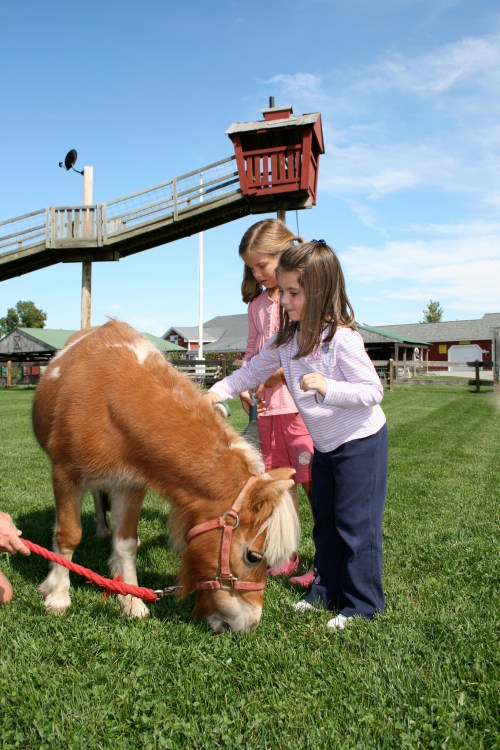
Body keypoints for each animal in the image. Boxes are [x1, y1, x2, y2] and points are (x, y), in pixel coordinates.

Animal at [32, 320, 299, 633]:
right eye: (254, 556)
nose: (251, 624)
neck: (111, 398)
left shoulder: (130, 485)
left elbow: (126, 544)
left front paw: (131, 600)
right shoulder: (65, 475)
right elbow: (67, 534)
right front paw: (58, 595)